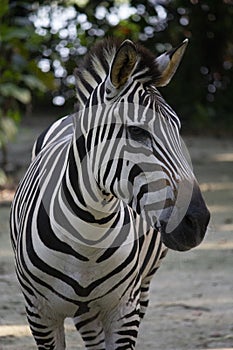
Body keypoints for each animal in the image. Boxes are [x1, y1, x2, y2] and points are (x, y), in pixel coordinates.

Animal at [10, 39, 209, 350]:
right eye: (137, 132)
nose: (198, 222)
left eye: (178, 129)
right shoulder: (40, 314)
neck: (88, 235)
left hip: (140, 288)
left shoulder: (124, 310)